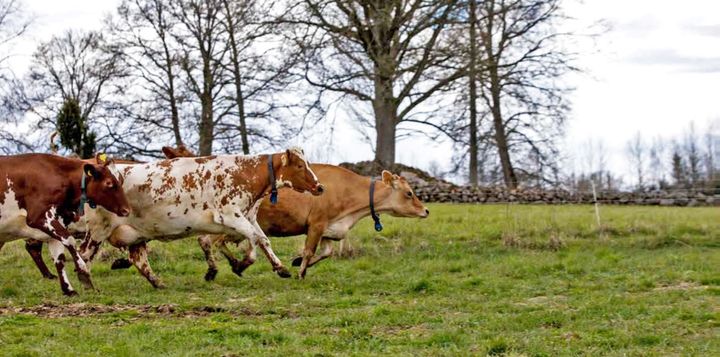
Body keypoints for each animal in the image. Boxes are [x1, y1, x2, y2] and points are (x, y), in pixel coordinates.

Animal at [0, 153, 131, 294]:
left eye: (121, 180)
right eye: (109, 183)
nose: (126, 210)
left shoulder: (57, 224)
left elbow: (59, 258)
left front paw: (68, 289)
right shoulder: (39, 217)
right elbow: (70, 241)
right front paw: (83, 272)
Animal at [79, 147, 324, 286]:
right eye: (300, 165)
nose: (320, 187)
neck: (245, 173)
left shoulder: (248, 216)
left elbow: (263, 240)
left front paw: (280, 268)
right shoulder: (230, 215)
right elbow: (252, 239)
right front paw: (241, 264)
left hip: (136, 234)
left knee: (139, 260)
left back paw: (158, 282)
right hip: (99, 229)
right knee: (84, 254)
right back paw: (86, 283)